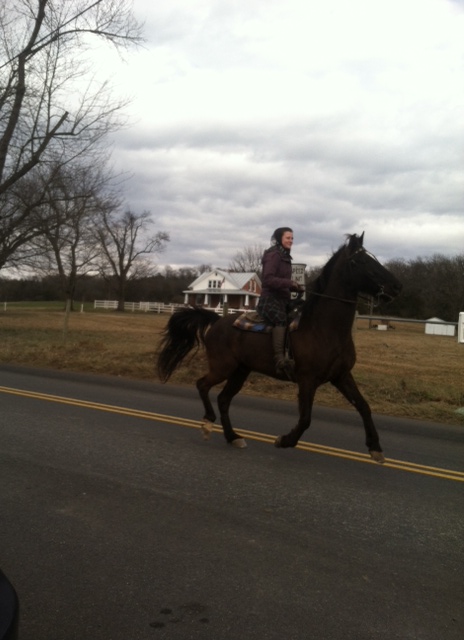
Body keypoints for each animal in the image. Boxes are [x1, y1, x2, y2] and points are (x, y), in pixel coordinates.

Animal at [156, 233, 402, 463]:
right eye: (360, 261)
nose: (396, 286)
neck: (324, 328)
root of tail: (217, 321)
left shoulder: (341, 376)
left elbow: (363, 406)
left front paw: (375, 448)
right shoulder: (307, 380)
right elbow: (305, 418)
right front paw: (285, 440)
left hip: (240, 371)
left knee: (224, 399)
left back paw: (233, 437)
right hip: (222, 368)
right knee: (202, 385)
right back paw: (208, 423)